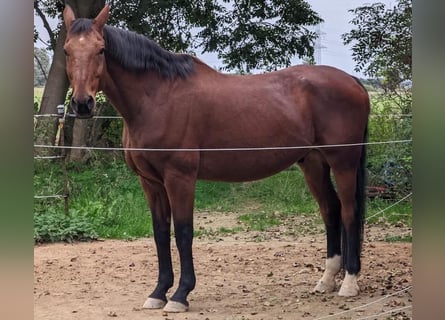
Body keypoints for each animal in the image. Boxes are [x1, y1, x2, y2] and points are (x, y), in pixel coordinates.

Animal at [61, 3, 368, 312]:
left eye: (101, 49)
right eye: (66, 50)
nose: (82, 104)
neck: (158, 97)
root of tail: (353, 81)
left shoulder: (180, 178)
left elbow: (184, 232)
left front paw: (181, 294)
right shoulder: (150, 182)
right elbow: (160, 233)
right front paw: (158, 292)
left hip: (343, 162)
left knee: (349, 212)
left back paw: (349, 283)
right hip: (314, 163)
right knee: (330, 210)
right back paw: (326, 280)